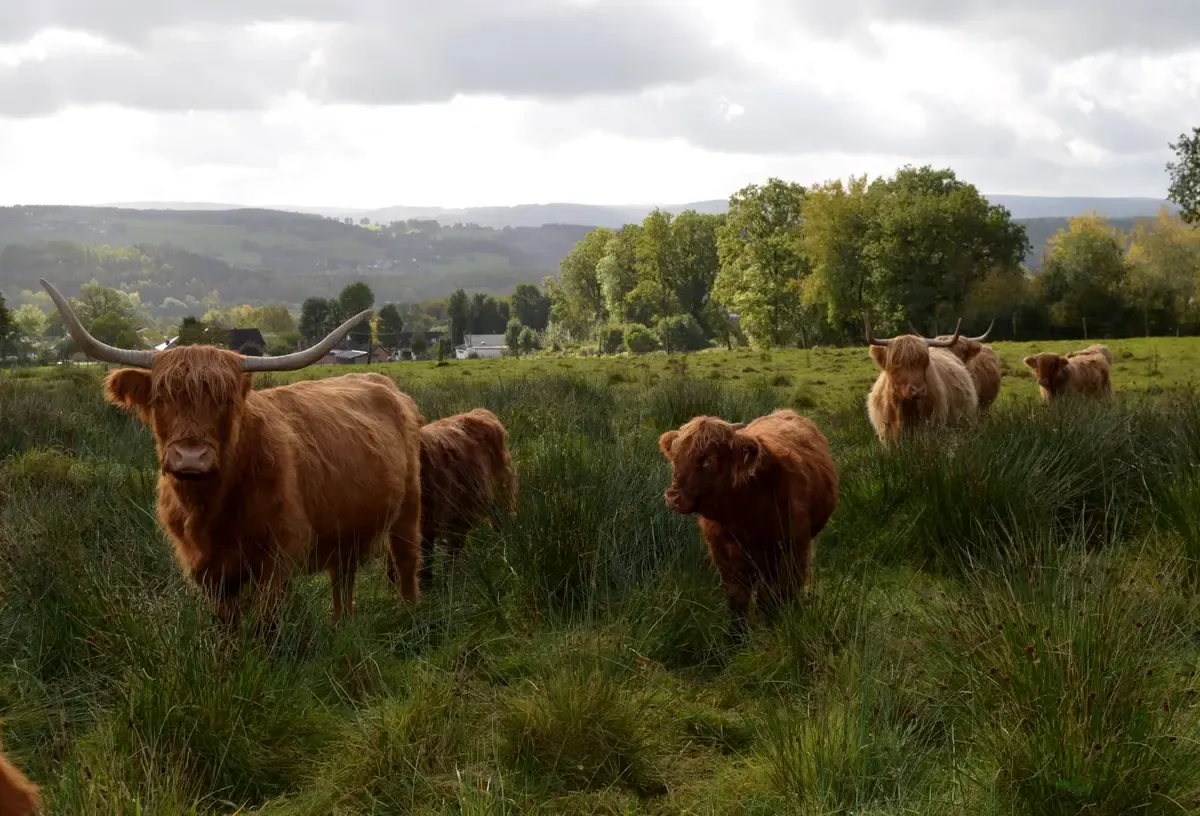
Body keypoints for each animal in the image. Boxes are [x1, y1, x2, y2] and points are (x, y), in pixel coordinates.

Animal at [39, 278, 424, 631]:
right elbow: (225, 626)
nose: (190, 457)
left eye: (224, 400)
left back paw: (408, 617)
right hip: (346, 527)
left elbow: (268, 622)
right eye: (160, 399)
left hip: (409, 509)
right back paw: (340, 625)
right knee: (343, 576)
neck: (210, 507)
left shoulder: (278, 557)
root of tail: (381, 382)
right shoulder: (207, 568)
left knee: (406, 560)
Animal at [401, 408, 518, 589]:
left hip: (499, 493)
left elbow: (425, 553)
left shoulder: (429, 518)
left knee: (499, 522)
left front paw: (426, 586)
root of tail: (480, 411)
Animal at [657, 408, 839, 636]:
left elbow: (774, 596)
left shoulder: (790, 551)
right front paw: (736, 638)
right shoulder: (725, 557)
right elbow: (738, 599)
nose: (673, 497)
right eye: (675, 457)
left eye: (708, 459)